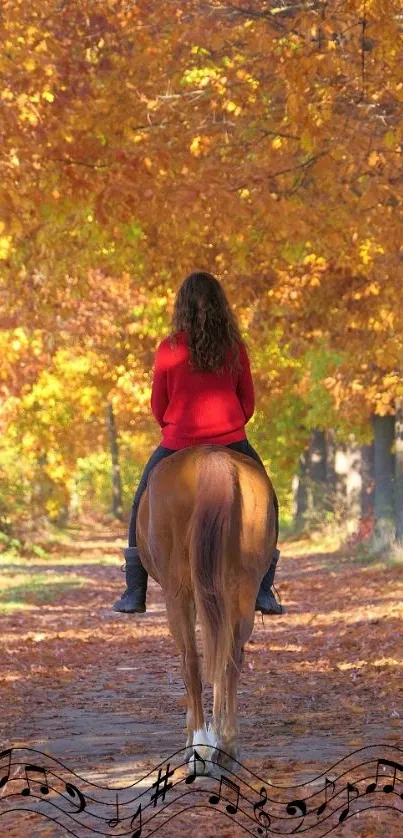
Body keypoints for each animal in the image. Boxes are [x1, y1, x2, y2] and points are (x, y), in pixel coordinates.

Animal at [136, 442, 278, 776]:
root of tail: (213, 460)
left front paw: (195, 742)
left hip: (178, 591)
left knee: (190, 659)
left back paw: (201, 746)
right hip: (242, 584)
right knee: (231, 657)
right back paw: (225, 746)